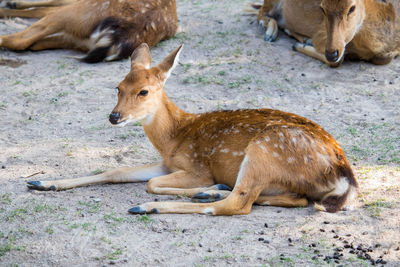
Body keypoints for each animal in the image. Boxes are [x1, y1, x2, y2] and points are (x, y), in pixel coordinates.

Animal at [28, 43, 360, 216]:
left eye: (144, 91)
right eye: (118, 87)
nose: (114, 116)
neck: (175, 137)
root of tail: (343, 173)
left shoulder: (197, 167)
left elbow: (153, 183)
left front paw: (204, 187)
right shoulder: (167, 163)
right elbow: (114, 171)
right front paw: (44, 183)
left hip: (263, 150)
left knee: (238, 203)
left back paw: (151, 206)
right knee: (293, 199)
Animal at [253, 0, 400, 67]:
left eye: (352, 8)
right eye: (322, 8)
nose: (331, 53)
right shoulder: (321, 33)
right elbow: (338, 61)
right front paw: (299, 45)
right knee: (261, 13)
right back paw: (270, 35)